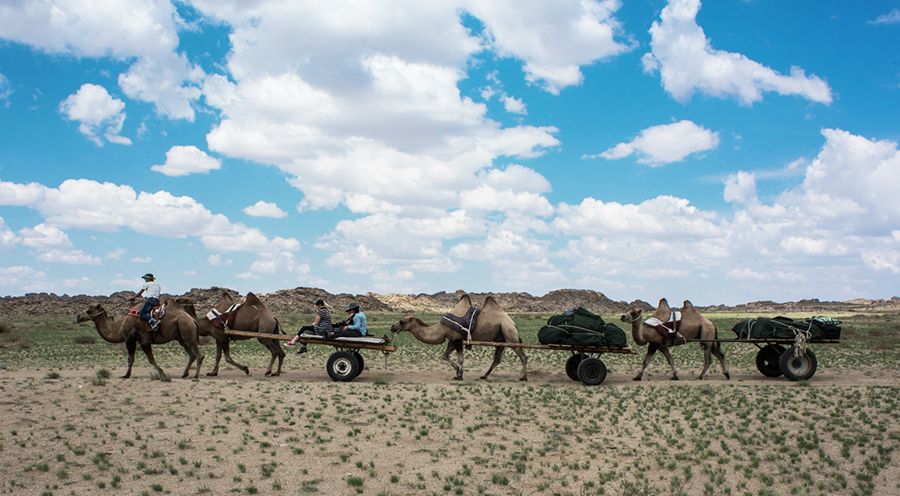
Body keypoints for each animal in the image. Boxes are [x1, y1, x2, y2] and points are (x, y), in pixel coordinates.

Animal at [75, 298, 204, 380]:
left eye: (89, 310)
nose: (78, 317)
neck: (120, 326)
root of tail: (193, 320)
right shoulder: (140, 341)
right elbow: (144, 359)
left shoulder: (134, 340)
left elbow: (138, 359)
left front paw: (126, 375)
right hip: (182, 338)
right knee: (192, 355)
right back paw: (184, 374)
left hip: (187, 332)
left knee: (199, 355)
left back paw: (195, 376)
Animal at [388, 294, 528, 380]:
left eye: (401, 321)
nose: (392, 327)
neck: (441, 328)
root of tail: (513, 323)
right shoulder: (452, 340)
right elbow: (445, 355)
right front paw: (457, 371)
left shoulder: (457, 340)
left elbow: (461, 359)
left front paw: (459, 375)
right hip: (500, 339)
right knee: (497, 359)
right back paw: (484, 376)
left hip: (509, 332)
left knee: (523, 356)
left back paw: (523, 377)